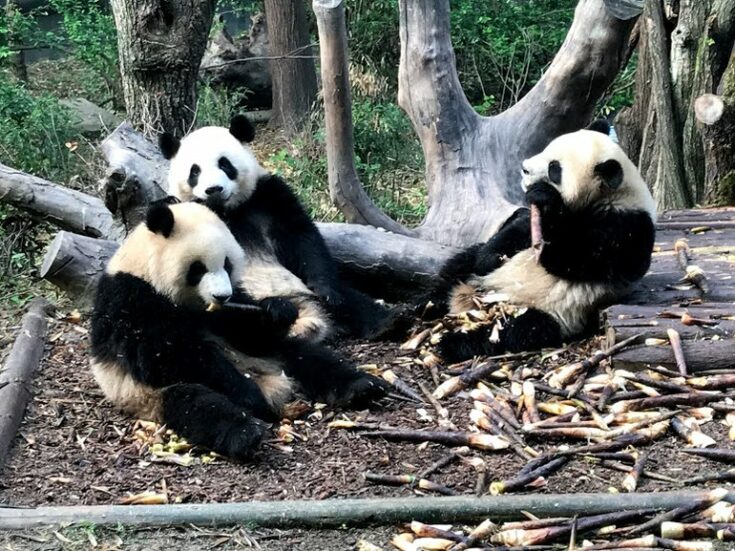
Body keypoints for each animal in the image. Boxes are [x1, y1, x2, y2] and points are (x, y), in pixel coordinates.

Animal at [158, 115, 406, 340]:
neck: (227, 211)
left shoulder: (267, 197)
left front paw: (326, 290)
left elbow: (302, 239)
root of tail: (308, 316)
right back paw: (275, 308)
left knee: (351, 298)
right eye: (195, 171)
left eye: (224, 164)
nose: (214, 189)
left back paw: (388, 321)